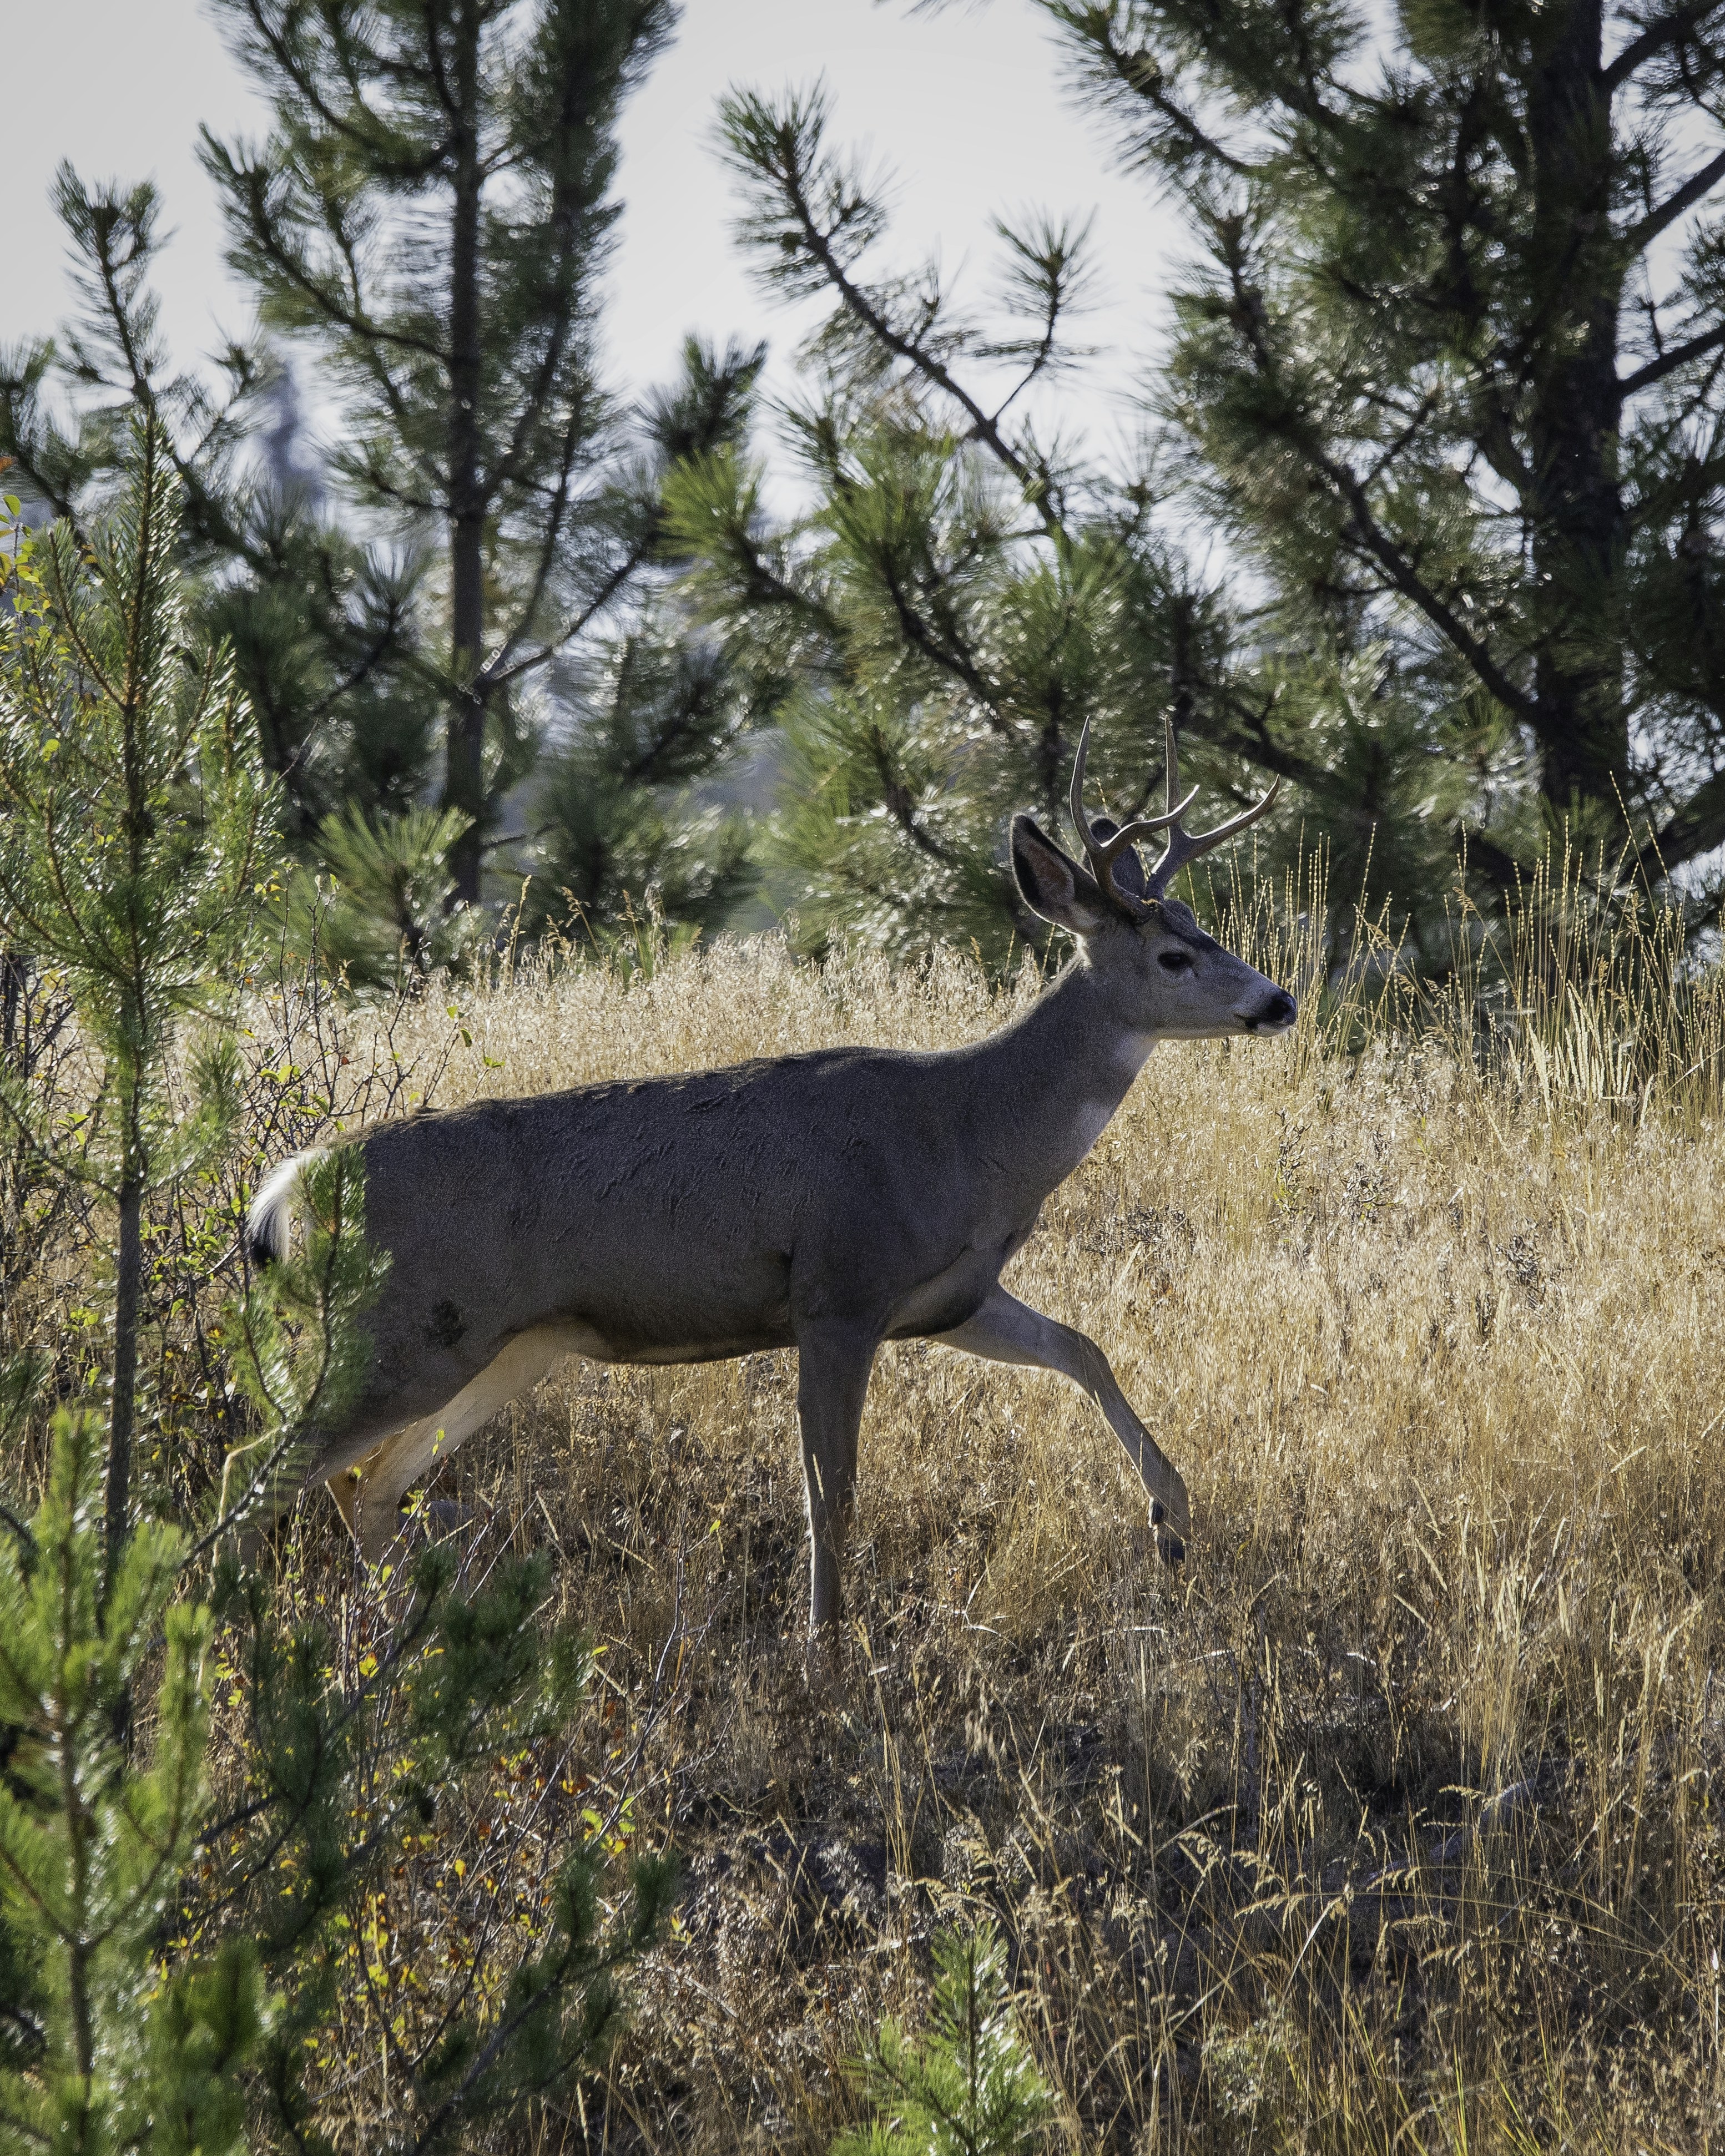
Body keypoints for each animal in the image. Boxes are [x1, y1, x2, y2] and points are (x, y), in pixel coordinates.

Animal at [247, 721, 1295, 1638]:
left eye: (1201, 928)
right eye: (1173, 955)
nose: (1277, 1000)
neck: (970, 1132)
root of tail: (293, 1186)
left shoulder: (945, 1298)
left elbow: (1083, 1347)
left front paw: (1171, 1518)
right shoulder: (838, 1289)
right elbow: (831, 1496)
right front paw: (825, 1649)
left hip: (505, 1345)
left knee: (366, 1486)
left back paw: (407, 1637)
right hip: (402, 1331)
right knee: (265, 1472)